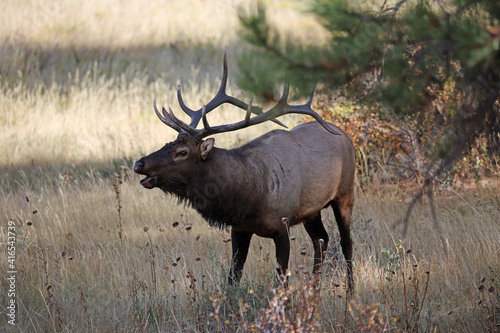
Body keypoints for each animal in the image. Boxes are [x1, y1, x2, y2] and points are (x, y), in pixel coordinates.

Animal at [135, 51, 356, 290]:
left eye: (182, 152)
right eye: (168, 143)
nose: (139, 164)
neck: (251, 196)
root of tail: (345, 136)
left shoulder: (282, 224)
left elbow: (283, 279)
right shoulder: (239, 228)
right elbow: (233, 276)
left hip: (345, 195)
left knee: (346, 242)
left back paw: (351, 291)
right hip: (312, 211)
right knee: (321, 240)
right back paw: (313, 290)